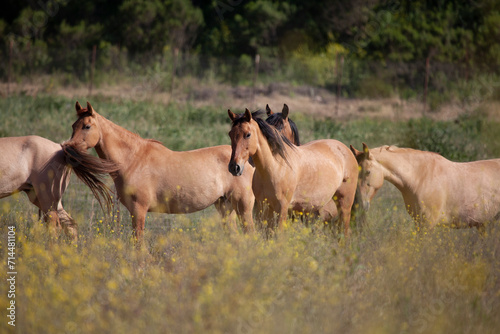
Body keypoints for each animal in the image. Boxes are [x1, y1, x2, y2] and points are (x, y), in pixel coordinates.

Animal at [62, 100, 256, 241]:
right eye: (73, 125)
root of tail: (244, 163)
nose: (68, 150)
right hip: (225, 207)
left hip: (243, 207)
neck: (133, 159)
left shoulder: (138, 210)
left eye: (86, 126)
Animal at [229, 108, 358, 236]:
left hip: (344, 204)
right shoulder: (263, 207)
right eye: (230, 134)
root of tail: (345, 149)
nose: (234, 167)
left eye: (248, 134)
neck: (275, 167)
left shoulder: (282, 208)